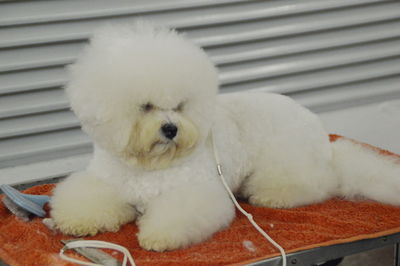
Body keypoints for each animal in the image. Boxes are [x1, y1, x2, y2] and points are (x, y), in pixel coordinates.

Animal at [50, 22, 400, 251]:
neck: (149, 165)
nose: (171, 129)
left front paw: (157, 237)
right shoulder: (105, 182)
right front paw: (77, 222)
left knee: (317, 183)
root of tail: (324, 140)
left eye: (179, 106)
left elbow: (178, 214)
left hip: (285, 163)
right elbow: (86, 199)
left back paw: (272, 196)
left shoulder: (194, 192)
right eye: (146, 106)